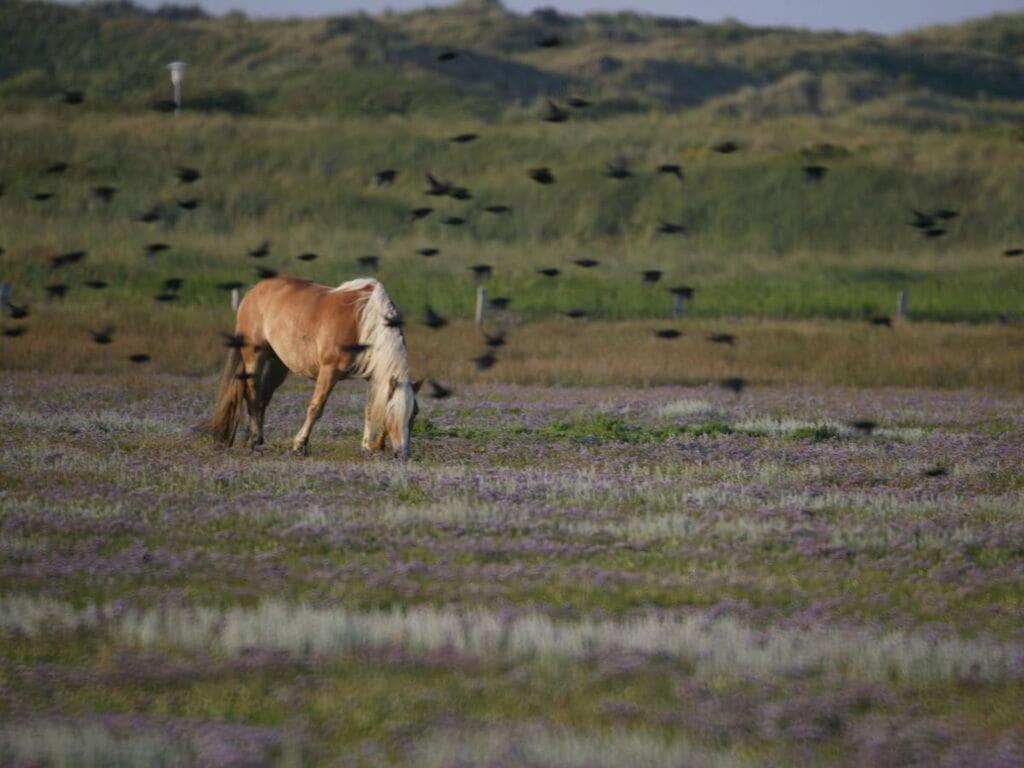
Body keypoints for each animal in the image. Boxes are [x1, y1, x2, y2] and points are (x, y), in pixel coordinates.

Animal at [211, 276, 419, 456]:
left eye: (414, 414)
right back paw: (254, 440)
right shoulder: (329, 370)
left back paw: (257, 440)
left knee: (263, 397)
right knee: (252, 395)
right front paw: (299, 445)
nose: (403, 454)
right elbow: (315, 408)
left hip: (277, 365)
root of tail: (253, 292)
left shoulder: (372, 376)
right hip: (254, 357)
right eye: (393, 412)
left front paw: (366, 446)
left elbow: (369, 409)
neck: (363, 321)